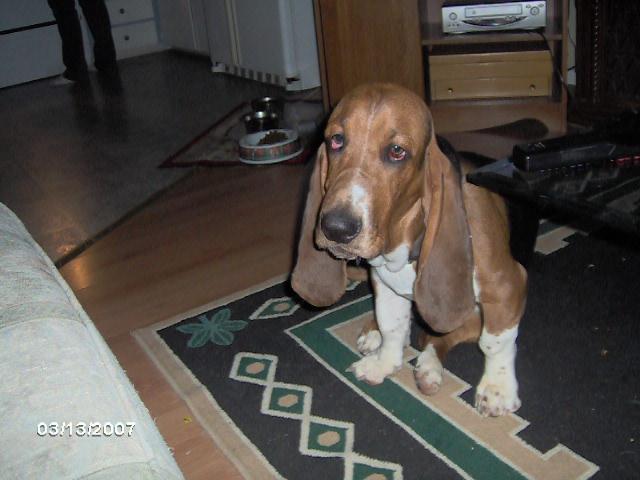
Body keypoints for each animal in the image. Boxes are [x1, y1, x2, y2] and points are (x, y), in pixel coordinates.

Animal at [291, 83, 528, 417]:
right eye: (336, 140)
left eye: (396, 151)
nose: (336, 228)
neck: (404, 242)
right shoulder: (384, 284)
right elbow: (392, 327)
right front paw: (385, 362)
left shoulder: (506, 287)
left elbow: (495, 343)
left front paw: (497, 389)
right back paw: (377, 335)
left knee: (441, 337)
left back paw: (428, 369)